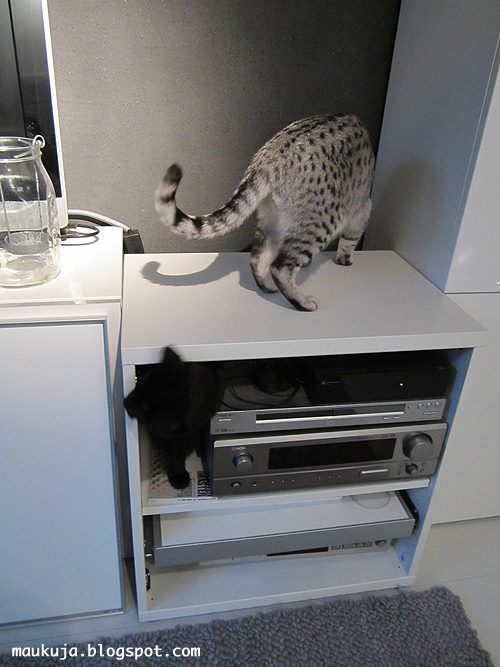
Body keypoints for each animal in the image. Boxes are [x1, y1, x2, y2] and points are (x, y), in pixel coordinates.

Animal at [123, 347, 223, 490]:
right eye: (138, 385)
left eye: (142, 406)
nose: (124, 402)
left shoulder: (181, 433)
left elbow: (178, 453)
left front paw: (178, 475)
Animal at [155, 113, 375, 312]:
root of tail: (270, 157)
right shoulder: (363, 207)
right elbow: (350, 241)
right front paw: (345, 260)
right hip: (320, 220)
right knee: (280, 267)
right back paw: (302, 302)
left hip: (272, 219)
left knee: (257, 258)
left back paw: (267, 286)